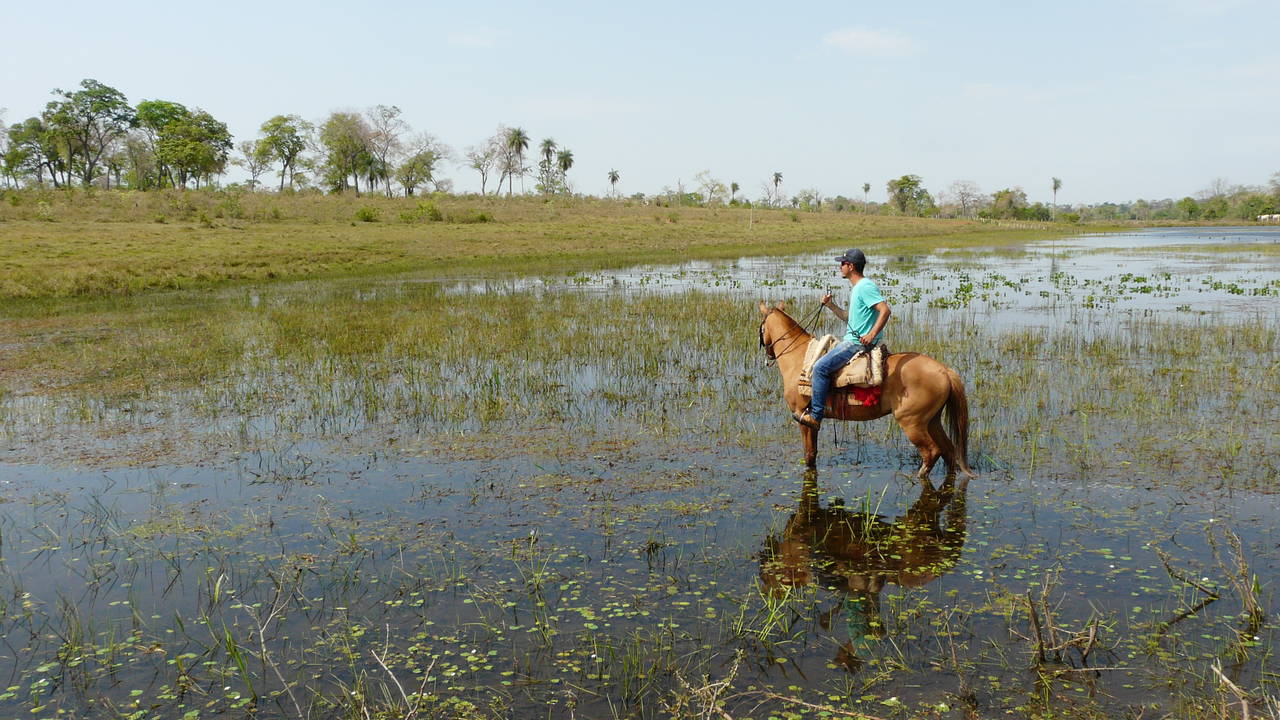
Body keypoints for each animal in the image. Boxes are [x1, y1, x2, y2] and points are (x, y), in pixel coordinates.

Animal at [752, 299, 972, 474]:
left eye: (760, 327)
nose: (769, 354)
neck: (799, 357)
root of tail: (944, 371)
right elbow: (812, 454)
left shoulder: (803, 418)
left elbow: (809, 456)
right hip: (932, 421)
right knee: (949, 451)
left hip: (912, 423)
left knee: (931, 453)